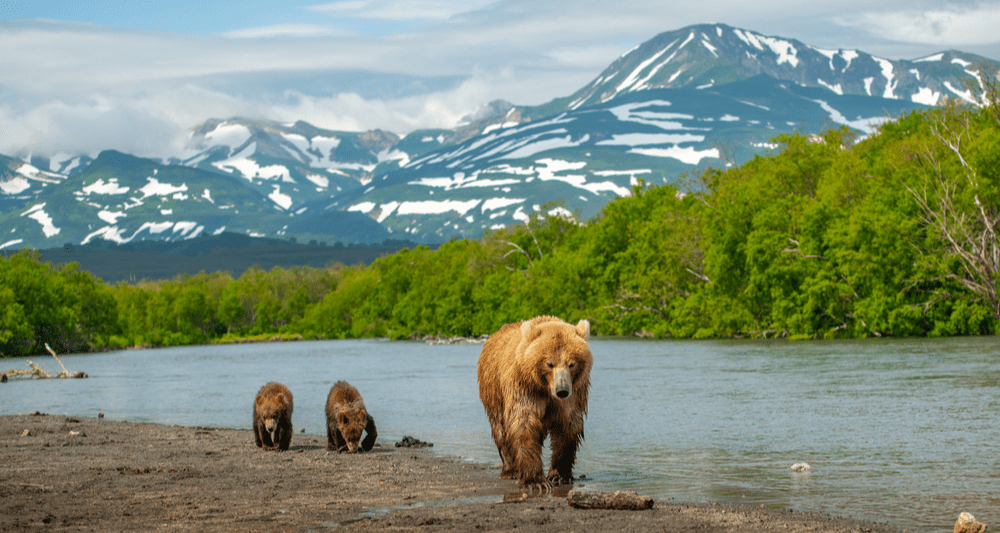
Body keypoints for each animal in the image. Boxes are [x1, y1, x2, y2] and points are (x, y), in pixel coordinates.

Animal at [478, 314, 592, 488]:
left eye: (572, 363)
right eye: (549, 363)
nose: (562, 390)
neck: (545, 388)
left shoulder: (574, 392)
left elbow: (568, 424)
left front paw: (559, 475)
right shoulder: (524, 387)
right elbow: (524, 423)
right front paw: (536, 481)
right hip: (493, 391)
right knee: (500, 429)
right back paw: (510, 470)